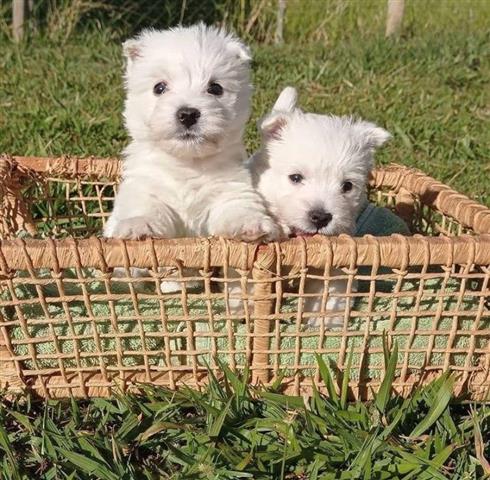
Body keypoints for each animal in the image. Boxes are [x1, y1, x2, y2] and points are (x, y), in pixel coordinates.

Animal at [103, 25, 280, 288]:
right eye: (159, 87)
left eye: (215, 88)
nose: (187, 114)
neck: (187, 162)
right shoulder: (147, 187)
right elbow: (146, 207)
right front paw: (138, 226)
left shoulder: (229, 189)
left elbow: (236, 208)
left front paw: (252, 225)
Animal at [249, 86, 390, 328]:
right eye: (295, 177)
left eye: (347, 185)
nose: (320, 217)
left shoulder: (336, 257)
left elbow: (331, 288)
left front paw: (326, 321)